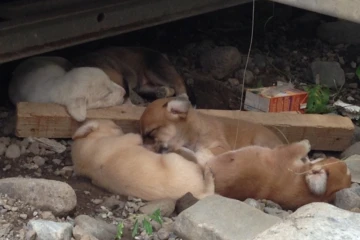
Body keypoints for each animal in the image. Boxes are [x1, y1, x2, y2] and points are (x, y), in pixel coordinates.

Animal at [71, 119, 215, 201]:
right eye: (116, 127)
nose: (120, 126)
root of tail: (197, 192)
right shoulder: (127, 139)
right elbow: (136, 137)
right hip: (173, 159)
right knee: (201, 167)